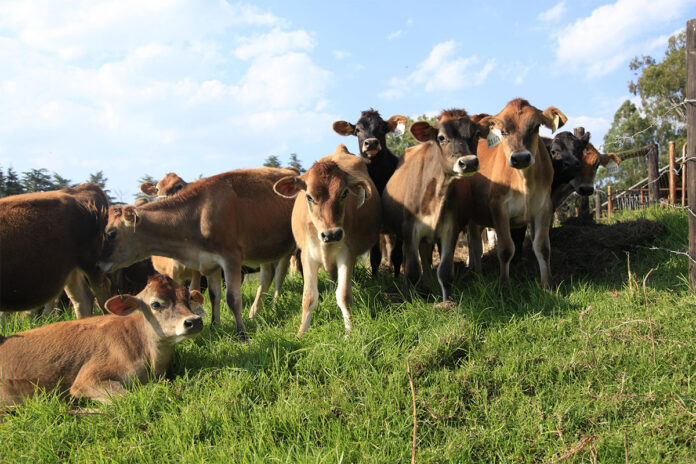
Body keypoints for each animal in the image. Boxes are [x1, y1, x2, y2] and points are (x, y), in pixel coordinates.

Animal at [98, 168, 297, 335]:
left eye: (110, 234)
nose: (98, 263)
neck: (197, 214)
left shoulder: (231, 257)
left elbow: (232, 299)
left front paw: (241, 333)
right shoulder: (209, 263)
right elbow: (214, 296)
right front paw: (215, 327)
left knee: (279, 276)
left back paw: (274, 306)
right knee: (267, 275)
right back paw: (256, 312)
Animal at [273, 145, 381, 336]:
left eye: (344, 193)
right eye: (309, 196)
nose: (332, 234)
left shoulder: (347, 254)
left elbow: (344, 295)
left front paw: (349, 332)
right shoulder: (306, 256)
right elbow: (309, 297)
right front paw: (301, 332)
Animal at [333, 109, 407, 277]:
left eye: (382, 127)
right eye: (357, 130)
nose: (371, 143)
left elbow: (398, 255)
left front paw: (397, 278)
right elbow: (375, 256)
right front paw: (374, 278)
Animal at [382, 109, 487, 305]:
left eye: (476, 134)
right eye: (442, 137)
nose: (468, 162)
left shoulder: (451, 229)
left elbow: (445, 271)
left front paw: (448, 302)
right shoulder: (410, 230)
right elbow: (412, 270)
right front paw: (412, 300)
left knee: (425, 257)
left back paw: (428, 283)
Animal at [467, 98, 567, 288]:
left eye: (535, 127)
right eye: (503, 131)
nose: (520, 158)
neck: (524, 182)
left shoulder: (544, 207)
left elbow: (542, 247)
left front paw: (547, 284)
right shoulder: (498, 208)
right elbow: (506, 249)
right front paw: (504, 284)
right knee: (474, 244)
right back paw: (476, 272)